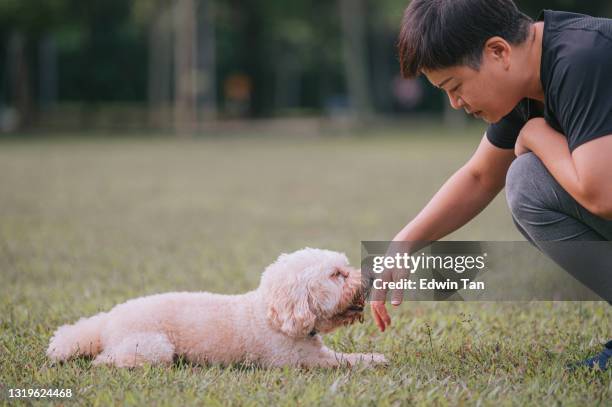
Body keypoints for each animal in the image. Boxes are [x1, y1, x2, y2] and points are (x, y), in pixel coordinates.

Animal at [47, 249, 384, 370]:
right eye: (337, 275)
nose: (369, 277)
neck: (271, 314)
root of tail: (107, 322)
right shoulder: (299, 361)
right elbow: (344, 361)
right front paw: (374, 360)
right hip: (153, 346)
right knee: (105, 360)